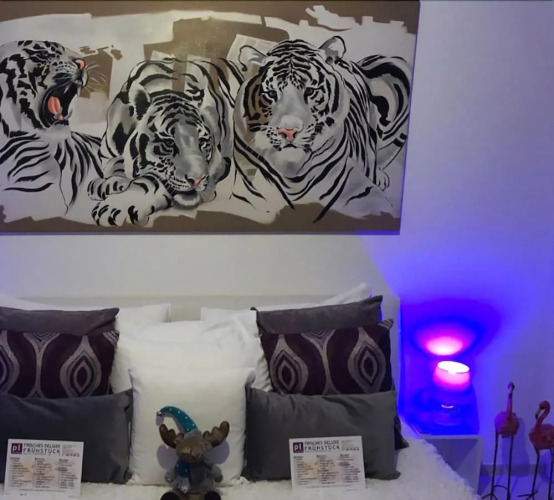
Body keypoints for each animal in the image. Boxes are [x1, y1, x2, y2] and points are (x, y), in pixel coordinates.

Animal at [88, 57, 247, 227]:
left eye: (203, 142)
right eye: (169, 143)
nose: (197, 180)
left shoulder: (218, 162)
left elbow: (151, 181)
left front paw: (116, 205)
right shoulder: (108, 154)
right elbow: (116, 165)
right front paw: (108, 183)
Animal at [233, 36, 412, 222]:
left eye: (310, 91)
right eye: (271, 93)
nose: (289, 131)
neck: (291, 173)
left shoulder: (360, 191)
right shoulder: (247, 195)